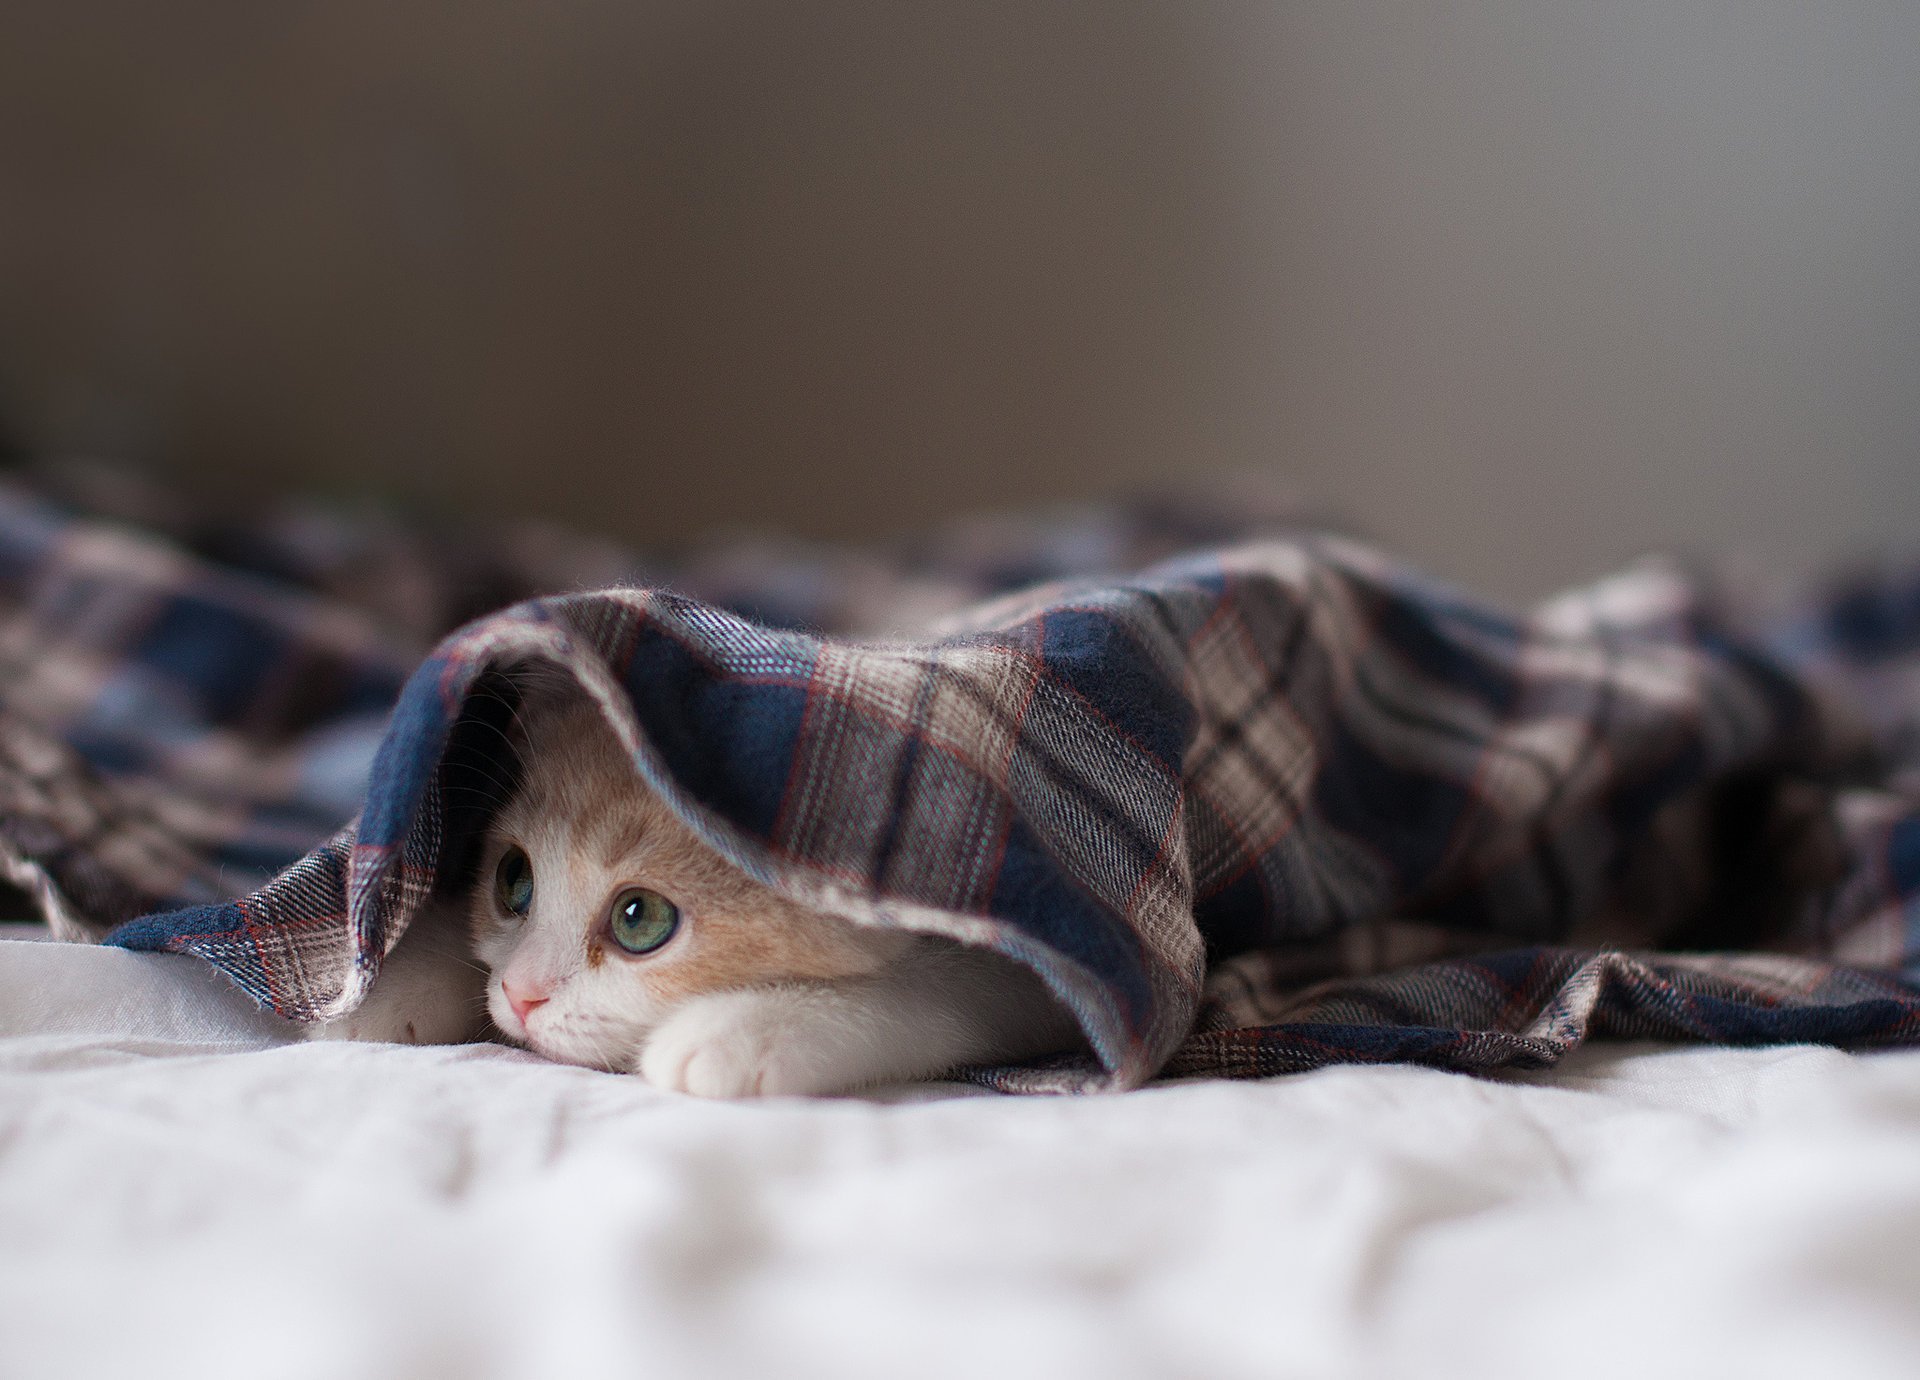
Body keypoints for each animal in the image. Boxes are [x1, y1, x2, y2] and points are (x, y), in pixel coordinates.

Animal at [311, 675, 1082, 1097]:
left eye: (639, 919)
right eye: (514, 881)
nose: (522, 996)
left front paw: (745, 1026)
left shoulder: (1042, 954)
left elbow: (946, 990)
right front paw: (389, 986)